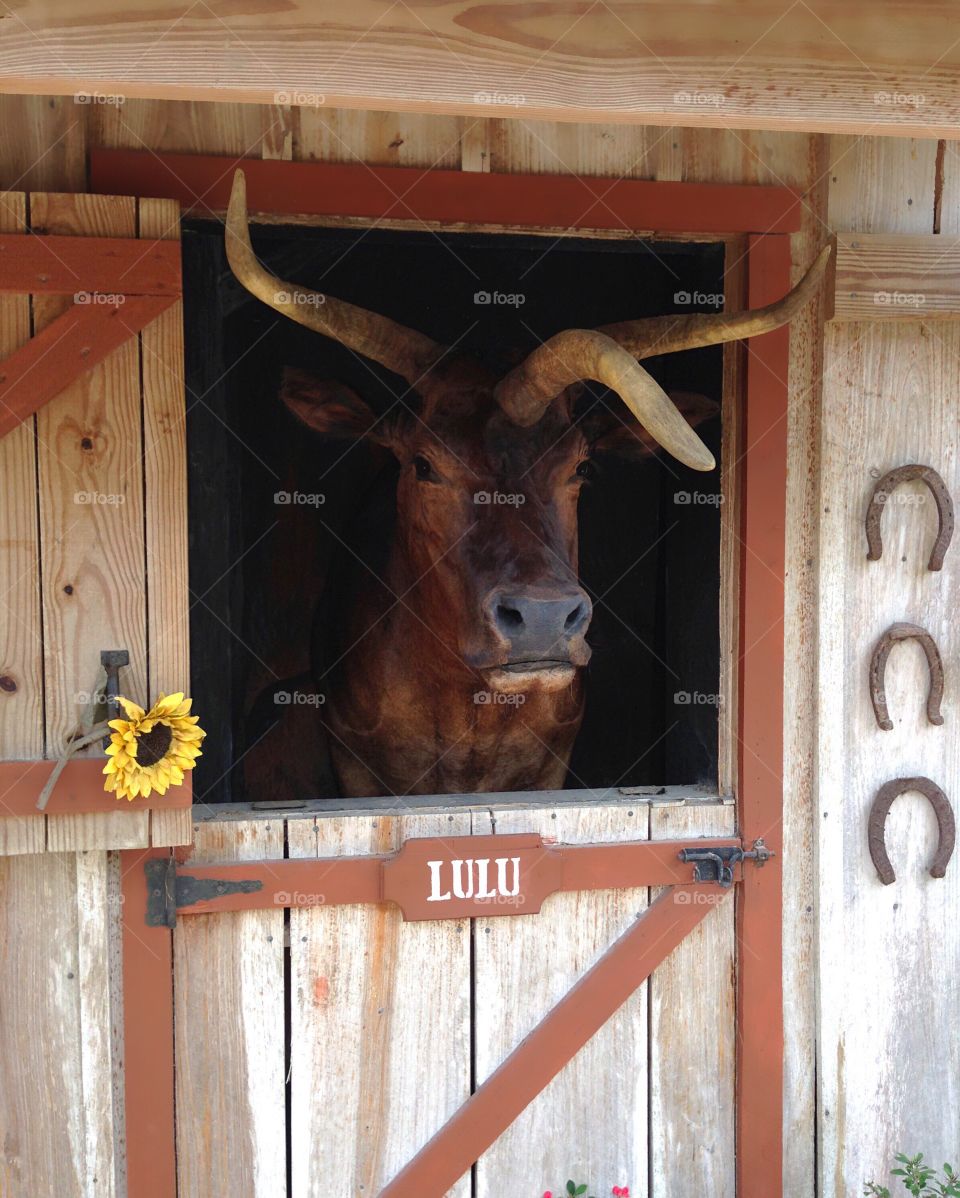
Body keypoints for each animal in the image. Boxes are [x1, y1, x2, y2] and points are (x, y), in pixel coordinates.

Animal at [226, 169, 828, 798]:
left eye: (581, 467)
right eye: (422, 464)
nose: (542, 619)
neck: (471, 710)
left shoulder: (550, 766)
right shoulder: (355, 766)